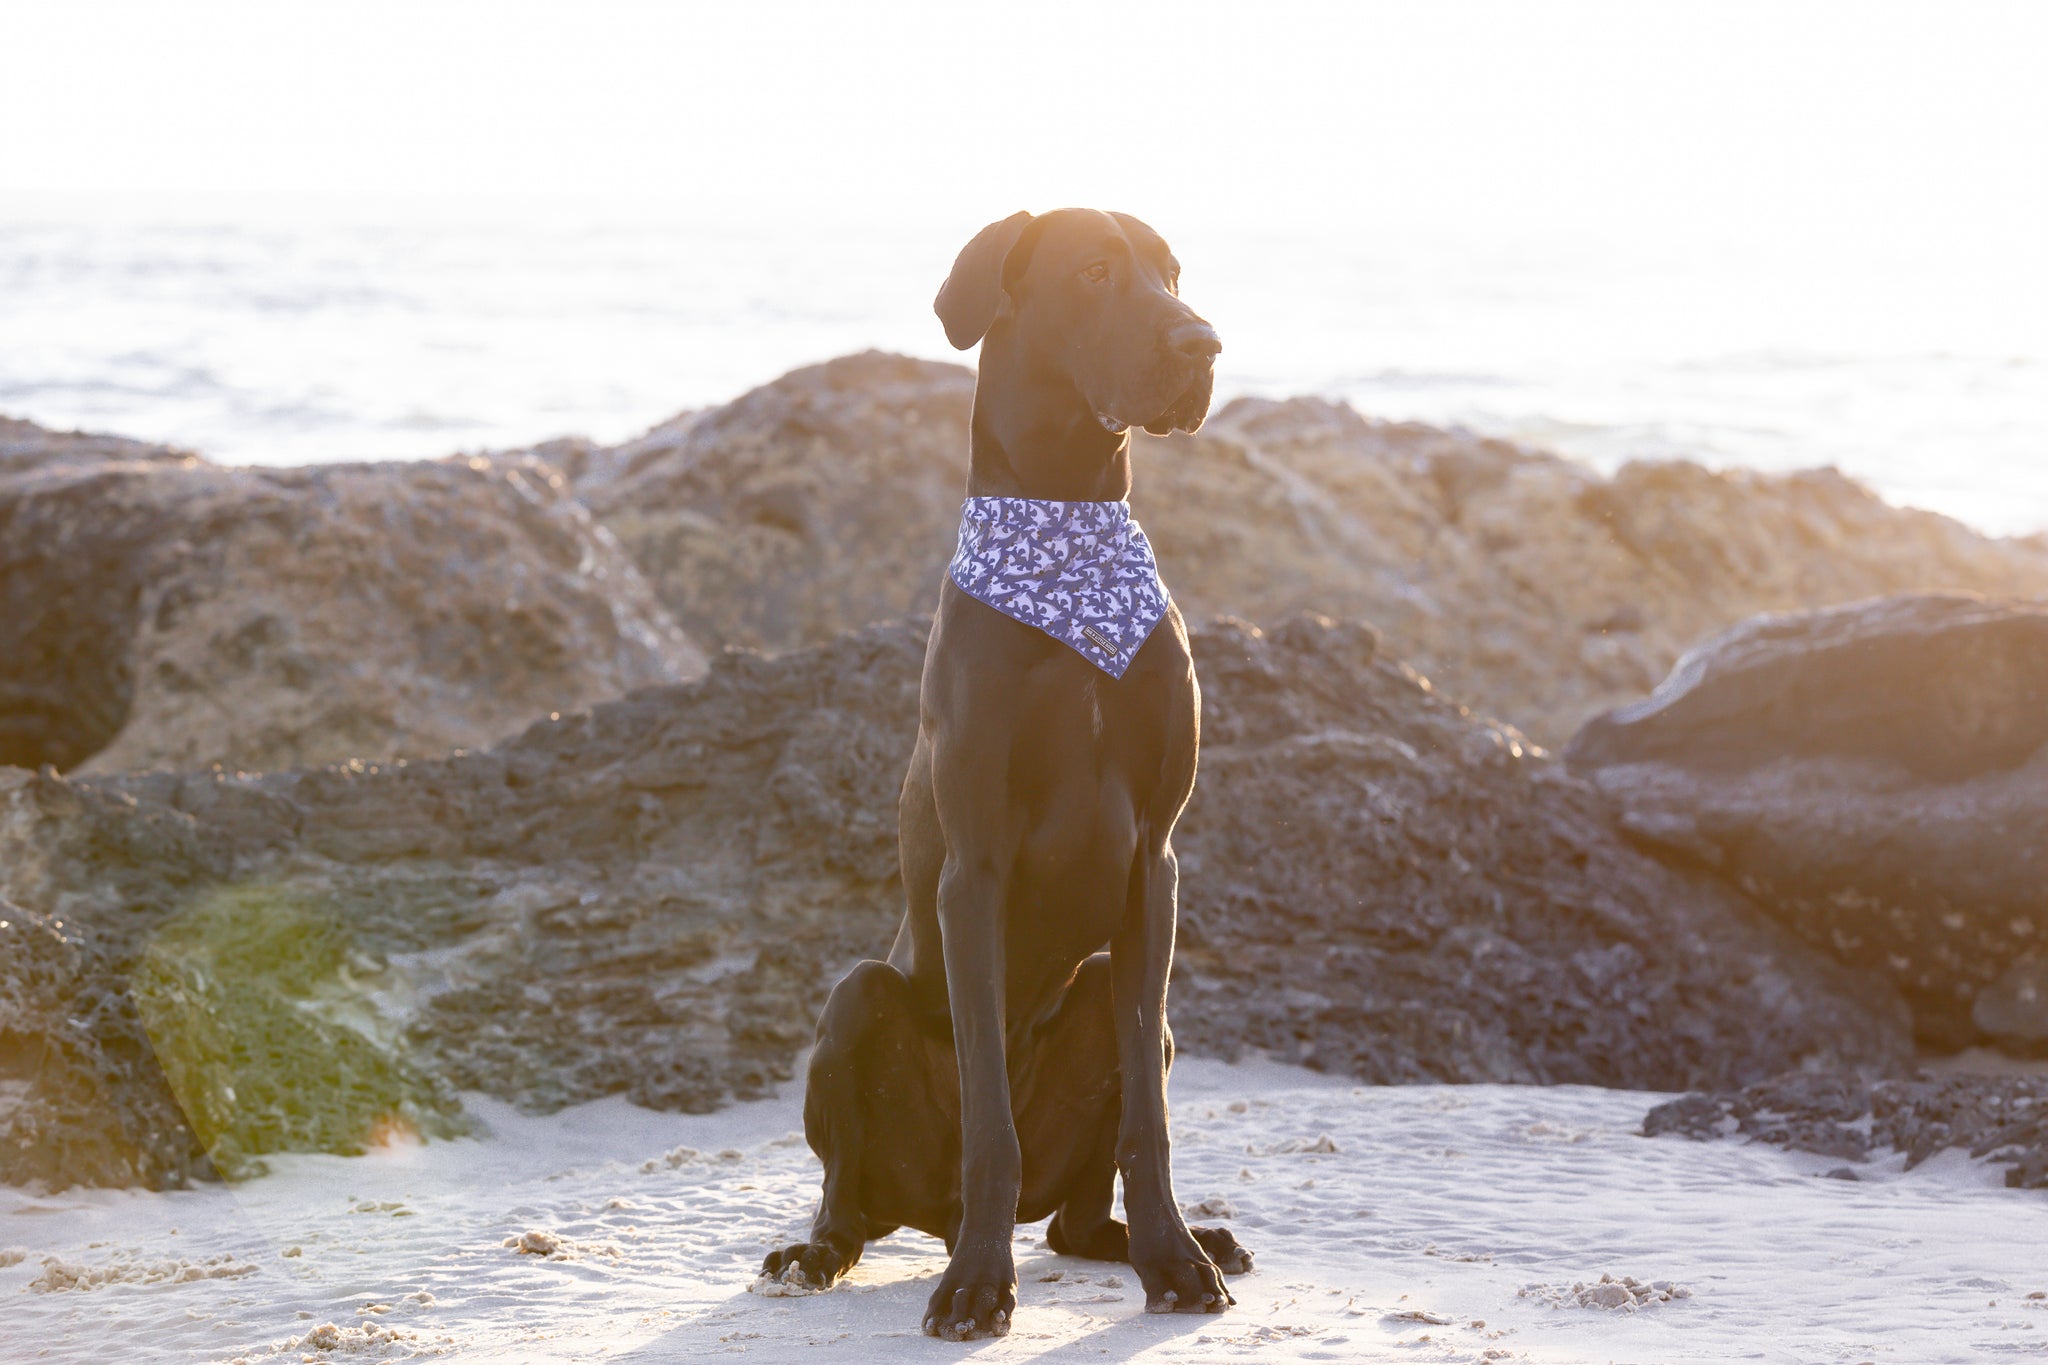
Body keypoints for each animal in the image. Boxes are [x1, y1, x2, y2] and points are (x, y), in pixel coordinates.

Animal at [757, 208, 1245, 1342]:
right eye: (1097, 271)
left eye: (1172, 273)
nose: (1201, 343)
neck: (1066, 524)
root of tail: (924, 1211)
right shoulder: (972, 871)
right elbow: (989, 1117)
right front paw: (979, 1283)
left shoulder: (1153, 866)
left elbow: (1150, 1127)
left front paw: (1174, 1259)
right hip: (856, 1003)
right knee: (851, 1195)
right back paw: (826, 1250)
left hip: (1115, 993)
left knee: (1075, 1215)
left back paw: (1175, 1238)